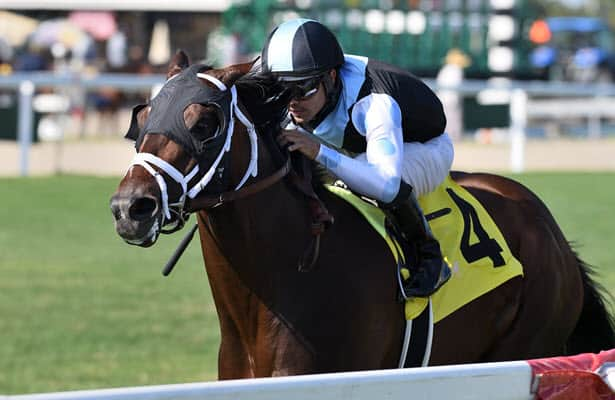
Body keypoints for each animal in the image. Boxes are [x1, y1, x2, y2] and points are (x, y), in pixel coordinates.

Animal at [112, 52, 615, 378]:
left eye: (205, 123)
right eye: (143, 117)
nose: (130, 207)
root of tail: (551, 231)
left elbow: (390, 183)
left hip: (525, 345)